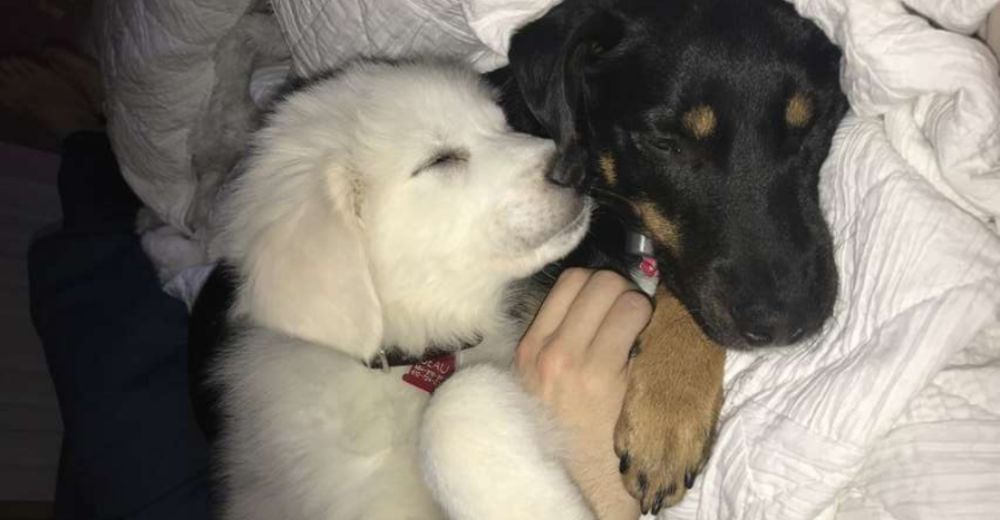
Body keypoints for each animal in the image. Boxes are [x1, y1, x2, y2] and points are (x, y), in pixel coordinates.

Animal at [211, 61, 596, 520]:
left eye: (504, 125)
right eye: (440, 160)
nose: (578, 168)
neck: (410, 356)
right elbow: (457, 399)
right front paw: (543, 506)